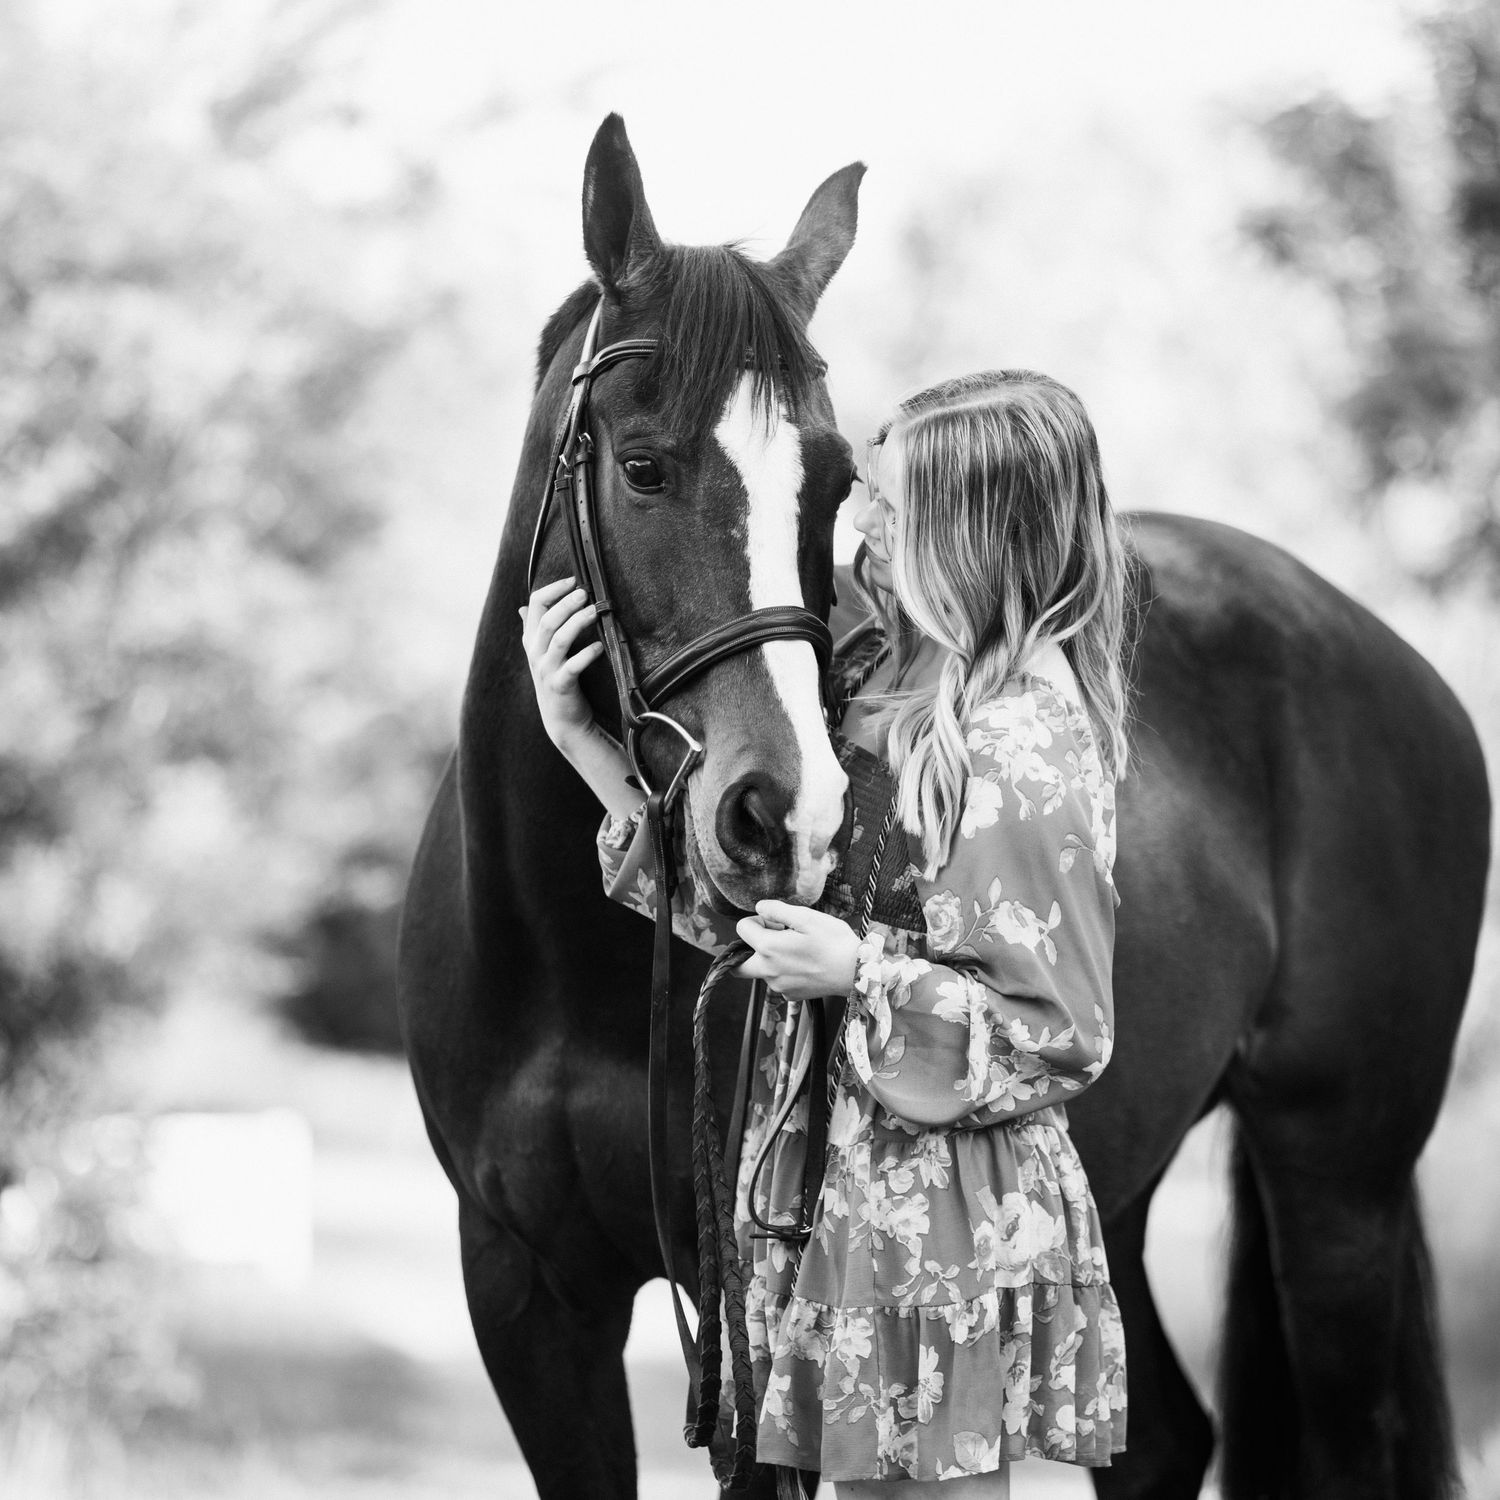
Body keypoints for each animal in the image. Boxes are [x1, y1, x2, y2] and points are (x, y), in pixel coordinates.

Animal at [398, 114, 1491, 1500]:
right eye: (643, 467)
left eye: (829, 488)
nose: (784, 820)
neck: (571, 954)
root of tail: (1392, 658)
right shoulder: (527, 1297)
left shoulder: (753, 1330)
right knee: (1158, 1437)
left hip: (1339, 1183)